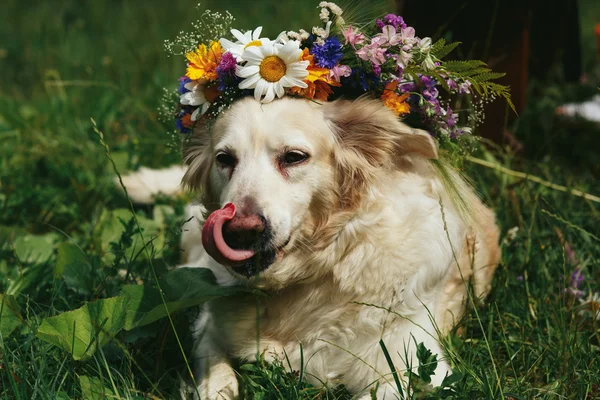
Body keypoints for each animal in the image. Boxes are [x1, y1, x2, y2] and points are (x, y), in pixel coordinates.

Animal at [119, 95, 500, 398]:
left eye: (294, 157)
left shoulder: (414, 365)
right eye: (224, 159)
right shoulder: (209, 328)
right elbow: (217, 377)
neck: (318, 269)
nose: (240, 231)